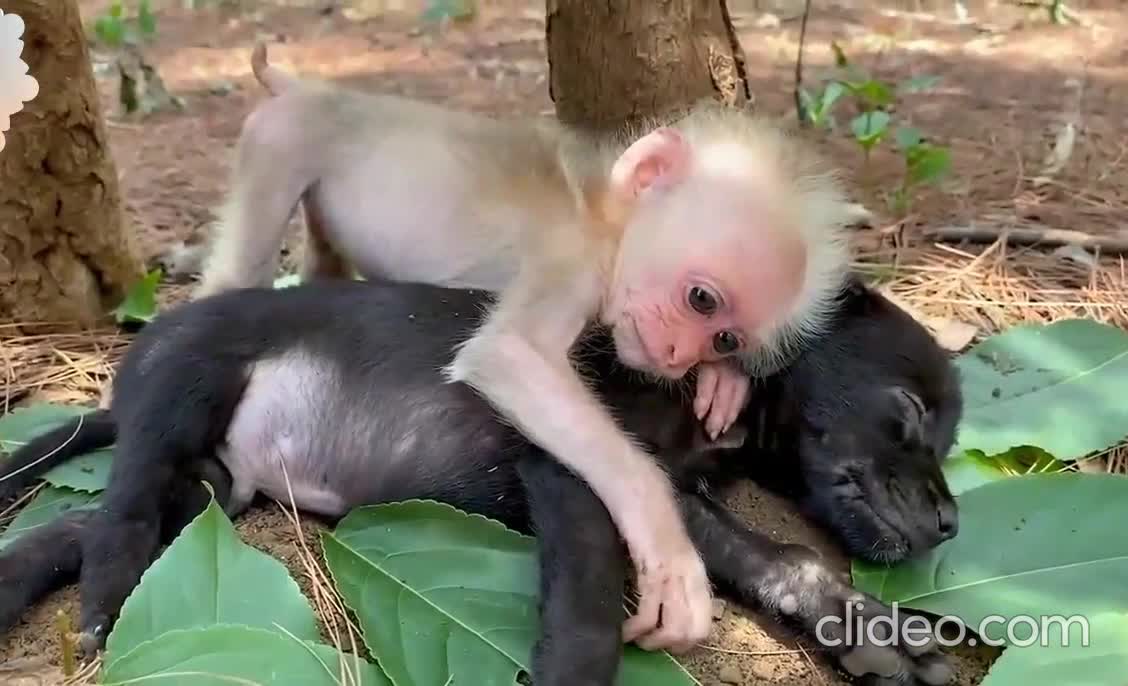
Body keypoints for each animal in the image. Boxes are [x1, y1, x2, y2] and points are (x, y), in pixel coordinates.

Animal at [0, 276, 961, 681]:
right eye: (910, 413)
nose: (952, 525)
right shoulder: (573, 469)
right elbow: (587, 619)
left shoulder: (672, 501)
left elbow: (784, 561)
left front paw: (871, 630)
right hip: (181, 395)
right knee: (117, 524)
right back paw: (97, 614)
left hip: (211, 489)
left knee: (71, 531)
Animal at [196, 42, 852, 654]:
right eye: (701, 299)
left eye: (725, 337)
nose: (678, 357)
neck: (604, 216)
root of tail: (314, 89)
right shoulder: (571, 262)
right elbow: (511, 354)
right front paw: (667, 547)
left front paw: (725, 381)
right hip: (279, 140)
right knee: (238, 273)